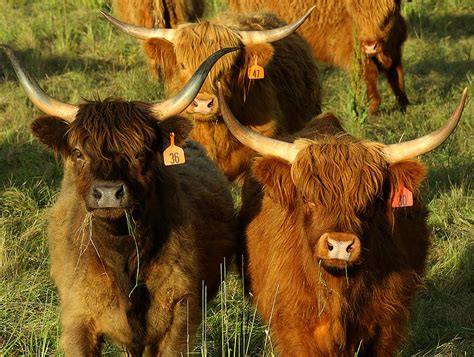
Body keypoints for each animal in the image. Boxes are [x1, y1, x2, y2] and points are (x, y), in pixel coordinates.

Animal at [0, 45, 237, 356]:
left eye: (141, 152)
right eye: (78, 152)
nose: (109, 193)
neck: (124, 258)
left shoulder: (180, 319)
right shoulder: (78, 322)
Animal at [231, 0, 410, 113]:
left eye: (389, 14)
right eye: (356, 14)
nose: (370, 45)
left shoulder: (395, 51)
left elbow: (398, 78)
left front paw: (405, 105)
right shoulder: (356, 55)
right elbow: (370, 79)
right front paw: (371, 109)